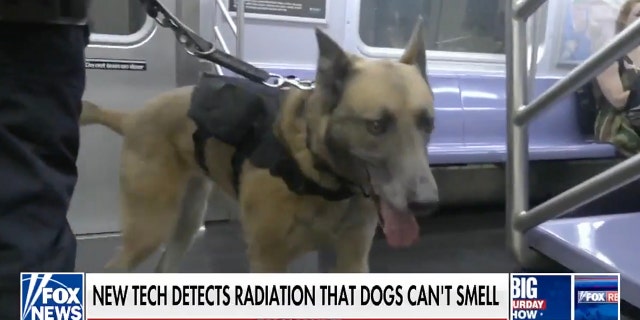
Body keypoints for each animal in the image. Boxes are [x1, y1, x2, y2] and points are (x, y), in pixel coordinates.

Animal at [80, 17, 438, 272]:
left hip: (185, 226)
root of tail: (132, 117)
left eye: (428, 124)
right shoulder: (268, 261)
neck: (319, 170)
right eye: (376, 126)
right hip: (149, 231)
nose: (426, 203)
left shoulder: (351, 261)